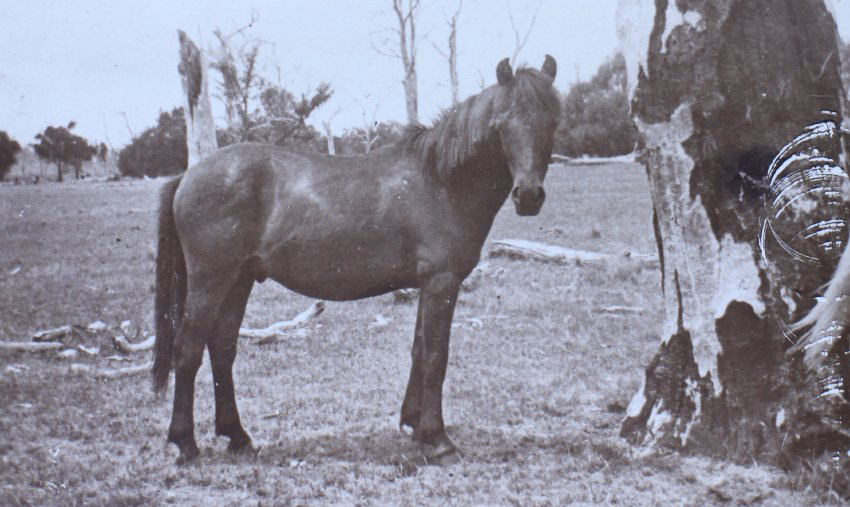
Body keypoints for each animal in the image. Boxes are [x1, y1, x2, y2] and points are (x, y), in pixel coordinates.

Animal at [152, 55, 560, 465]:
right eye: (502, 125)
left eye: (552, 121)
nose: (528, 195)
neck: (441, 182)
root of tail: (187, 175)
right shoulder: (442, 282)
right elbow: (435, 356)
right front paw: (438, 440)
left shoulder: (427, 285)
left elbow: (419, 349)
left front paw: (414, 425)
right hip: (211, 280)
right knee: (188, 348)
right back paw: (185, 443)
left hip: (239, 280)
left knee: (222, 348)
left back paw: (237, 437)